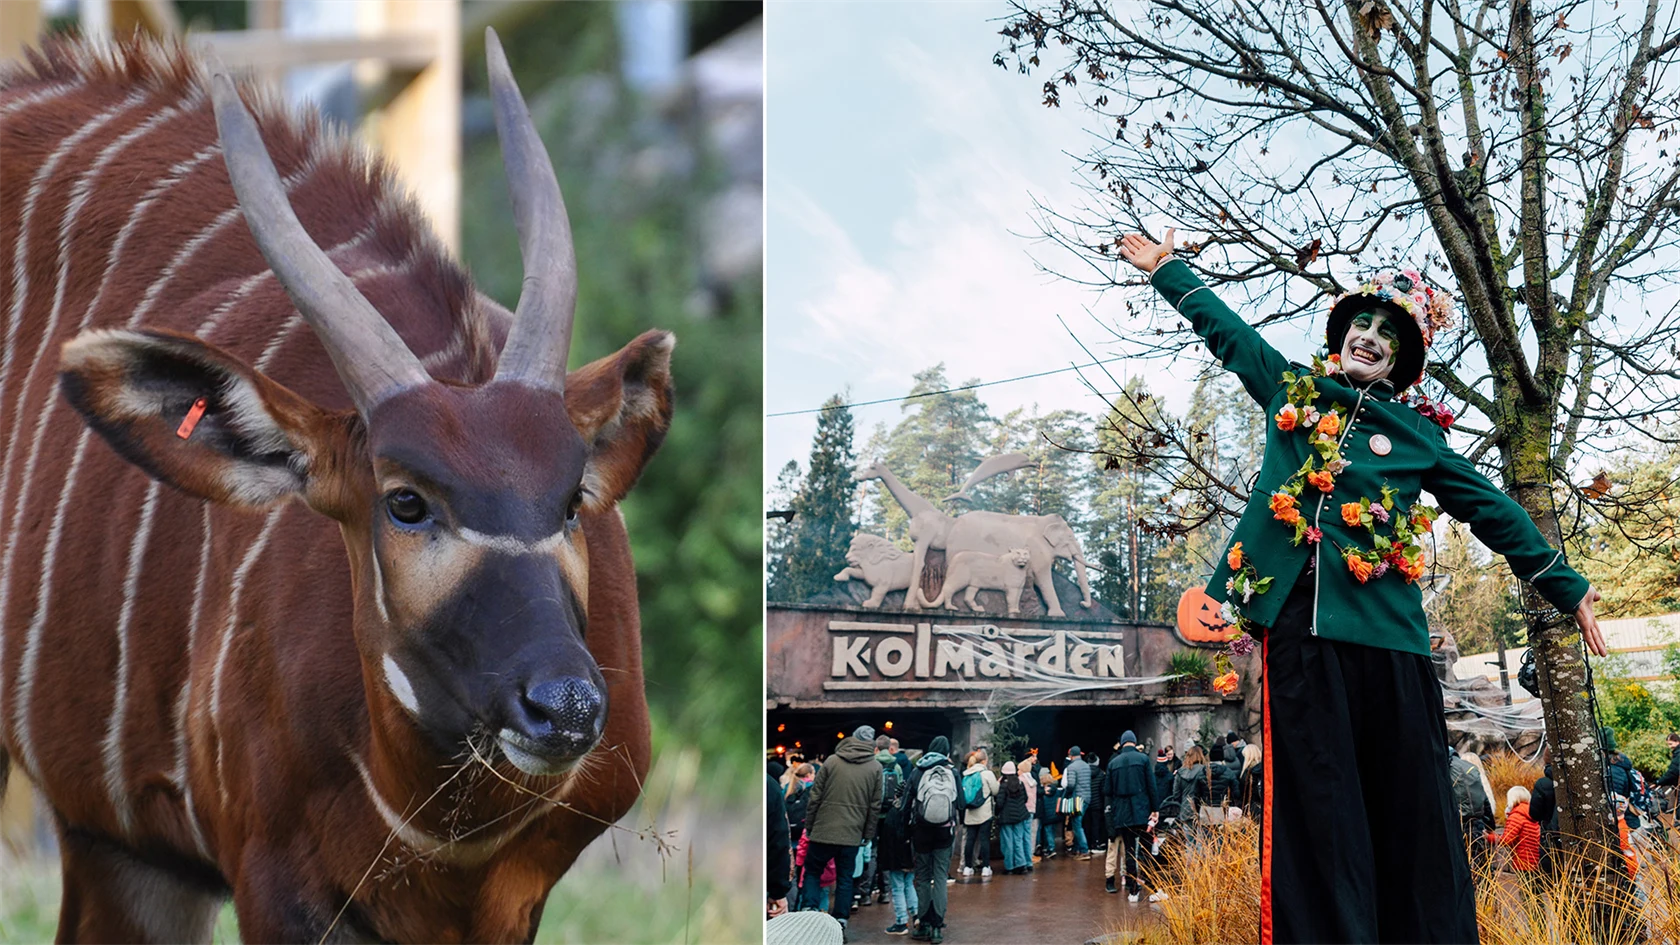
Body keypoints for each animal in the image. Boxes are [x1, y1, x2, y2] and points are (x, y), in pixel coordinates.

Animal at [0, 29, 668, 941]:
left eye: (572, 500)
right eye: (405, 500)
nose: (564, 705)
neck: (441, 835)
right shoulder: (271, 881)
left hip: (122, 844)